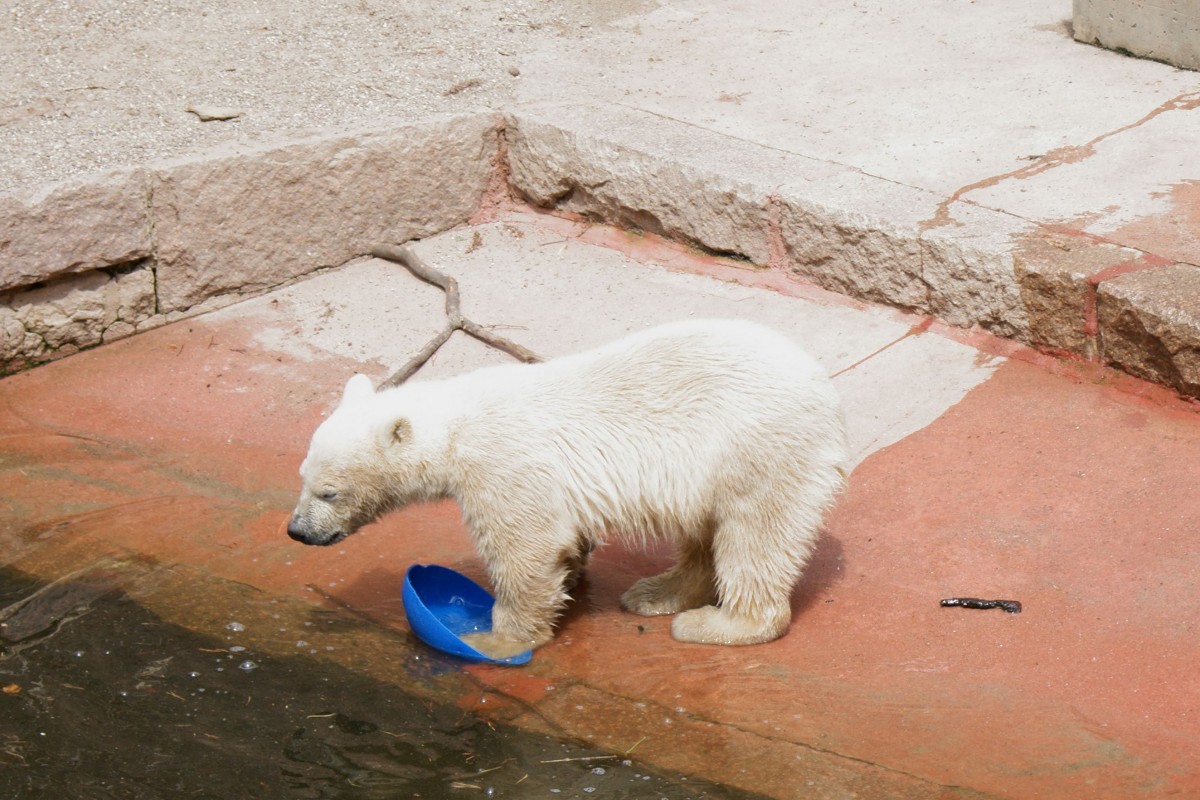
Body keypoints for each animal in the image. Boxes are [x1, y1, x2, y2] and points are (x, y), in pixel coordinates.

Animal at [286, 316, 849, 657]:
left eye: (329, 492)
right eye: (303, 478)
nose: (297, 532)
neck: (458, 423)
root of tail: (826, 392)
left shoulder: (502, 464)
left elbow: (525, 549)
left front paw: (498, 639)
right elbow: (563, 537)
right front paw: (574, 574)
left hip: (759, 449)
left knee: (755, 535)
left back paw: (717, 624)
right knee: (703, 532)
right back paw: (656, 593)